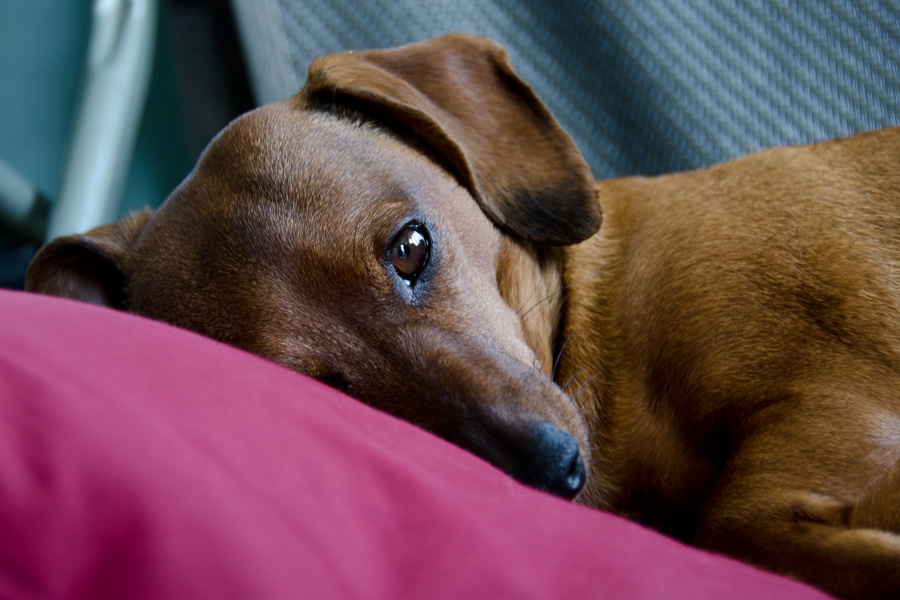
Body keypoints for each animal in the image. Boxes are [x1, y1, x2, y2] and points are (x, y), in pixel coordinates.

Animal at [24, 35, 900, 596]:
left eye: (411, 247)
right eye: (326, 391)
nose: (553, 471)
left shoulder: (836, 395)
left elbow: (735, 522)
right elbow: (740, 526)